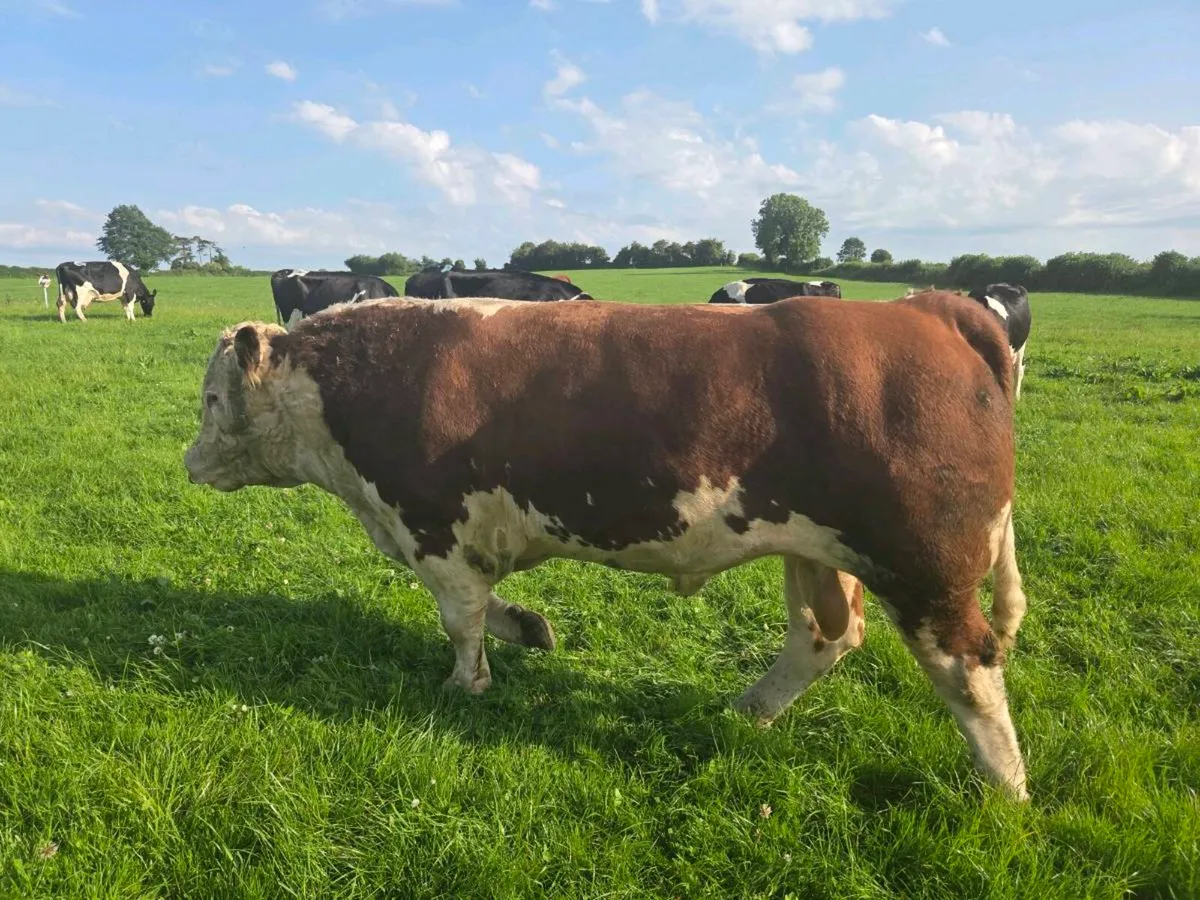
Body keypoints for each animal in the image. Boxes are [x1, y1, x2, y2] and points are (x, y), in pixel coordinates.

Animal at [184, 295, 1030, 800]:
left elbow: (460, 618)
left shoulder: (433, 525)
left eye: (212, 397)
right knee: (825, 636)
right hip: (818, 549)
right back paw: (747, 710)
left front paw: (467, 685)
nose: (188, 463)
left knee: (968, 666)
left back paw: (1005, 788)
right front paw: (529, 629)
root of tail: (930, 306)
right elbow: (489, 606)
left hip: (923, 566)